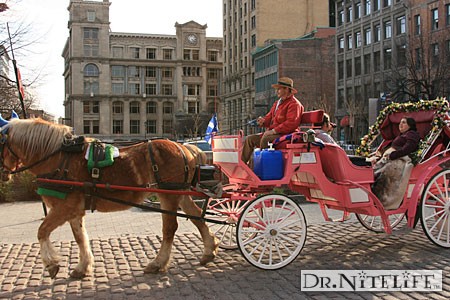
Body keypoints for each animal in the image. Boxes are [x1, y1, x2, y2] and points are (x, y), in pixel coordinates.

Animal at [0, 115, 218, 278]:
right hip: (180, 193)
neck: (60, 158)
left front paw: (52, 264)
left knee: (170, 228)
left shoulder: (64, 207)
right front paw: (83, 266)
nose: (3, 174)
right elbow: (79, 237)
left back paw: (158, 263)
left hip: (169, 195)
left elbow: (42, 231)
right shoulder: (74, 210)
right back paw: (209, 250)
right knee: (197, 216)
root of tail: (185, 147)